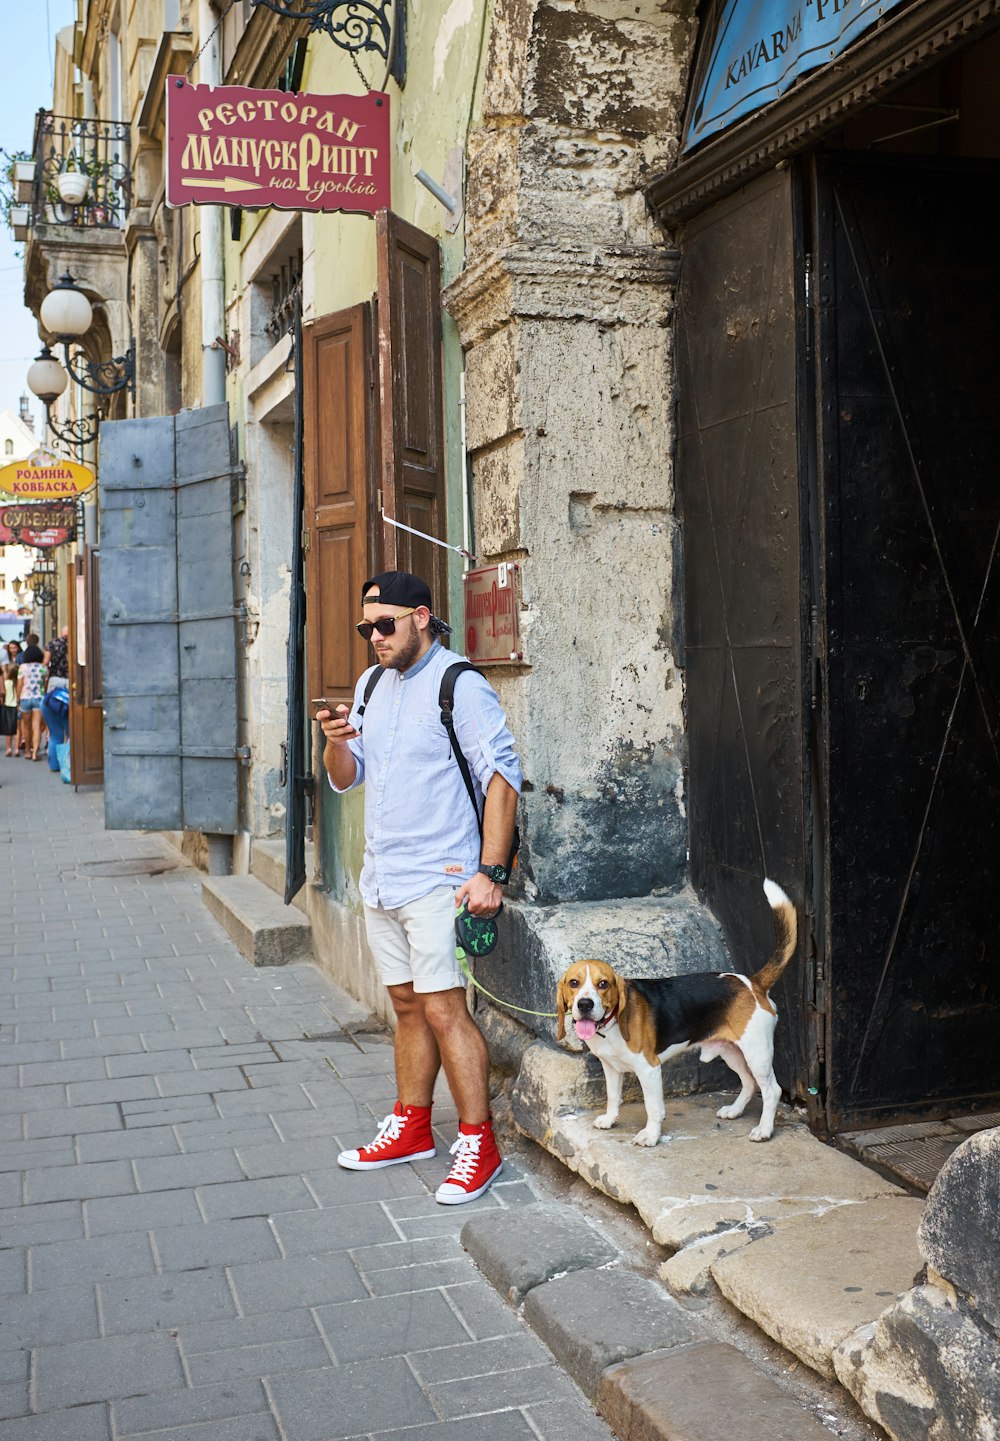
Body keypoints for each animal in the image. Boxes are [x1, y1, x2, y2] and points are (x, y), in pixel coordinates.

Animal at [556, 876, 801, 1147]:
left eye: (603, 984)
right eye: (574, 983)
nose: (585, 1004)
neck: (610, 1026)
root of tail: (752, 982)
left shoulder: (649, 1069)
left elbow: (653, 1108)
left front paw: (650, 1135)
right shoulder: (611, 1068)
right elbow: (613, 1097)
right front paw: (610, 1120)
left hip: (757, 1052)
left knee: (771, 1090)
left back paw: (764, 1130)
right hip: (731, 1050)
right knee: (749, 1083)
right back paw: (734, 1111)